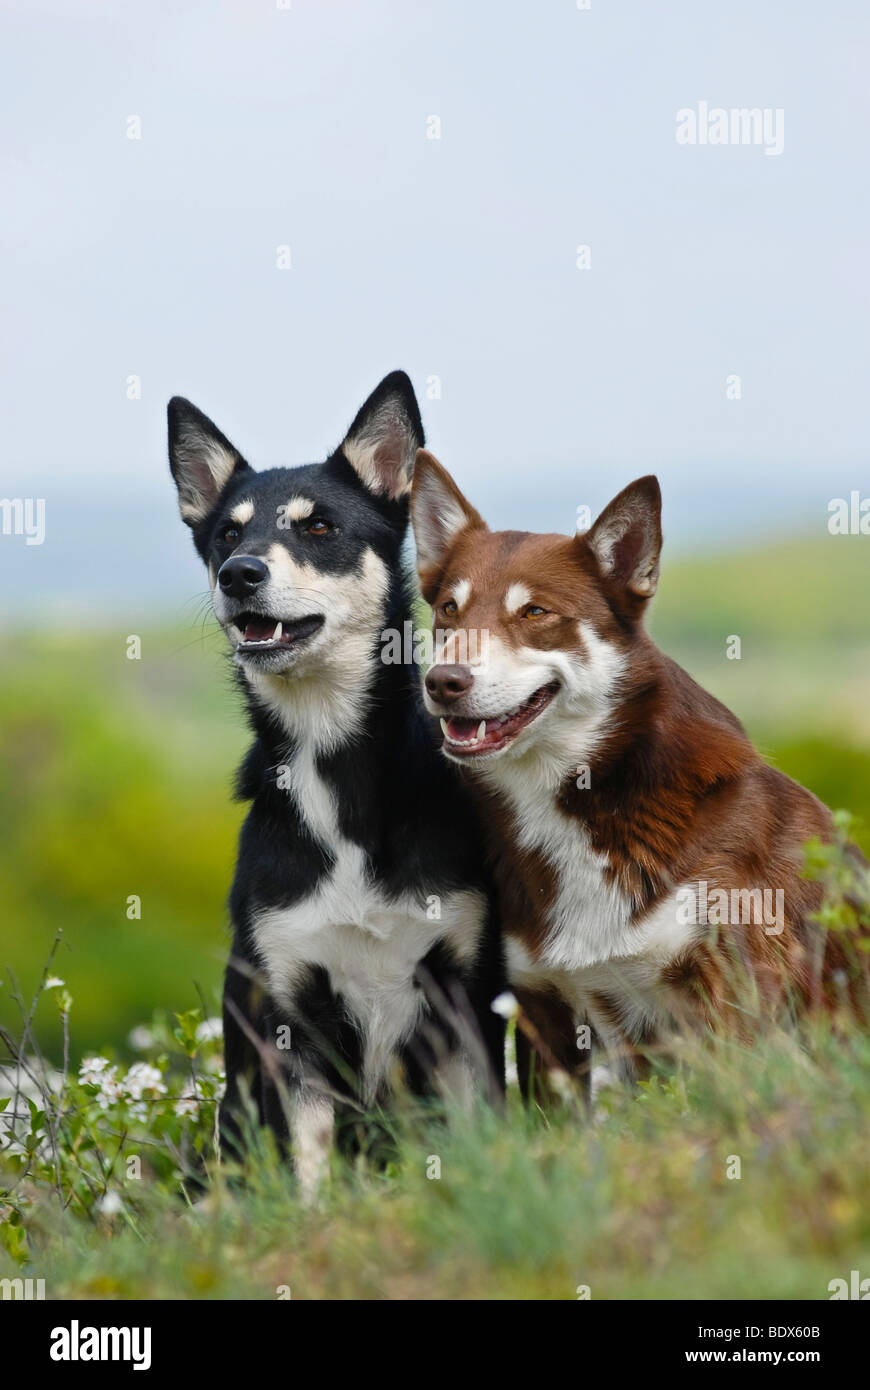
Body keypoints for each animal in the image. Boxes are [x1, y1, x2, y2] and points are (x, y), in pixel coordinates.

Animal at [166, 372, 500, 1195]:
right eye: (226, 536)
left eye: (318, 528)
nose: (240, 575)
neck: (333, 768)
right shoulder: (290, 1014)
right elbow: (308, 1167)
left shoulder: (458, 992)